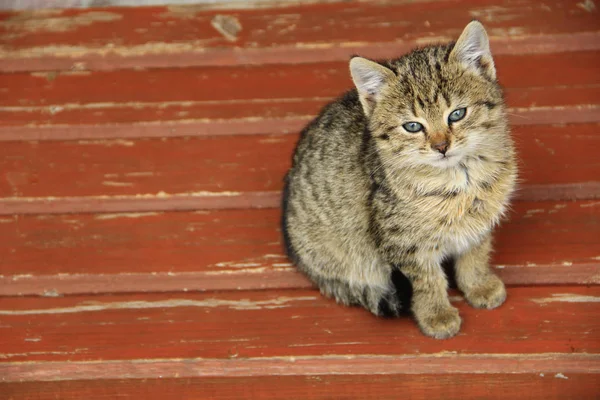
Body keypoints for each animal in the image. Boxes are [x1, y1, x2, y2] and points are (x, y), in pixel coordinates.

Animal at [282, 21, 516, 340]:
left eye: (457, 114)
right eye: (413, 126)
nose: (441, 146)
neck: (462, 179)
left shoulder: (481, 221)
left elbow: (476, 253)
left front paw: (478, 284)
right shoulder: (404, 243)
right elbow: (428, 280)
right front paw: (436, 314)